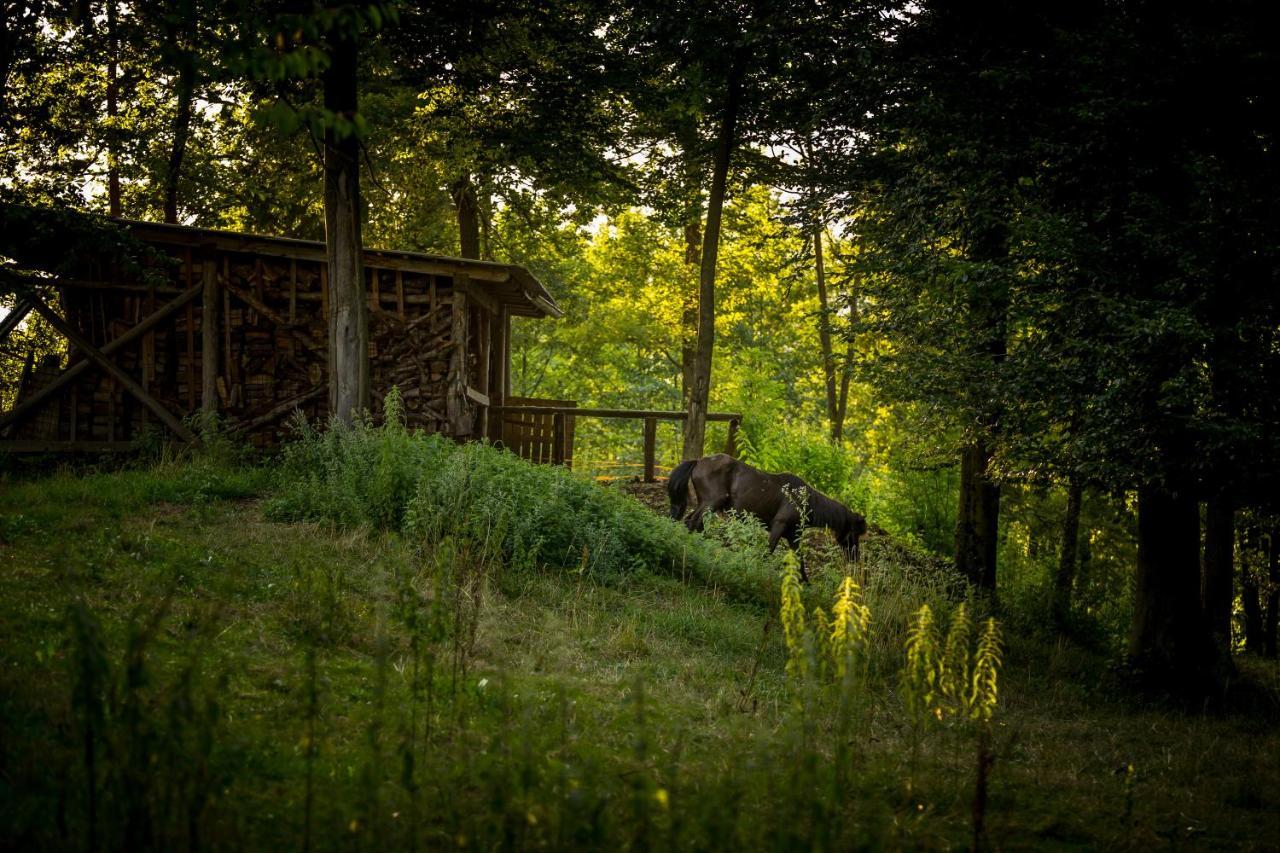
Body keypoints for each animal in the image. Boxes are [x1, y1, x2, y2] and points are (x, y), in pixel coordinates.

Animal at [665, 450, 865, 578]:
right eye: (854, 533)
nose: (855, 557)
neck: (803, 500)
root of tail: (699, 461)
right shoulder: (779, 526)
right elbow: (768, 551)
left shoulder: (793, 536)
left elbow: (799, 560)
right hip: (711, 503)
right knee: (693, 522)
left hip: (705, 504)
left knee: (692, 522)